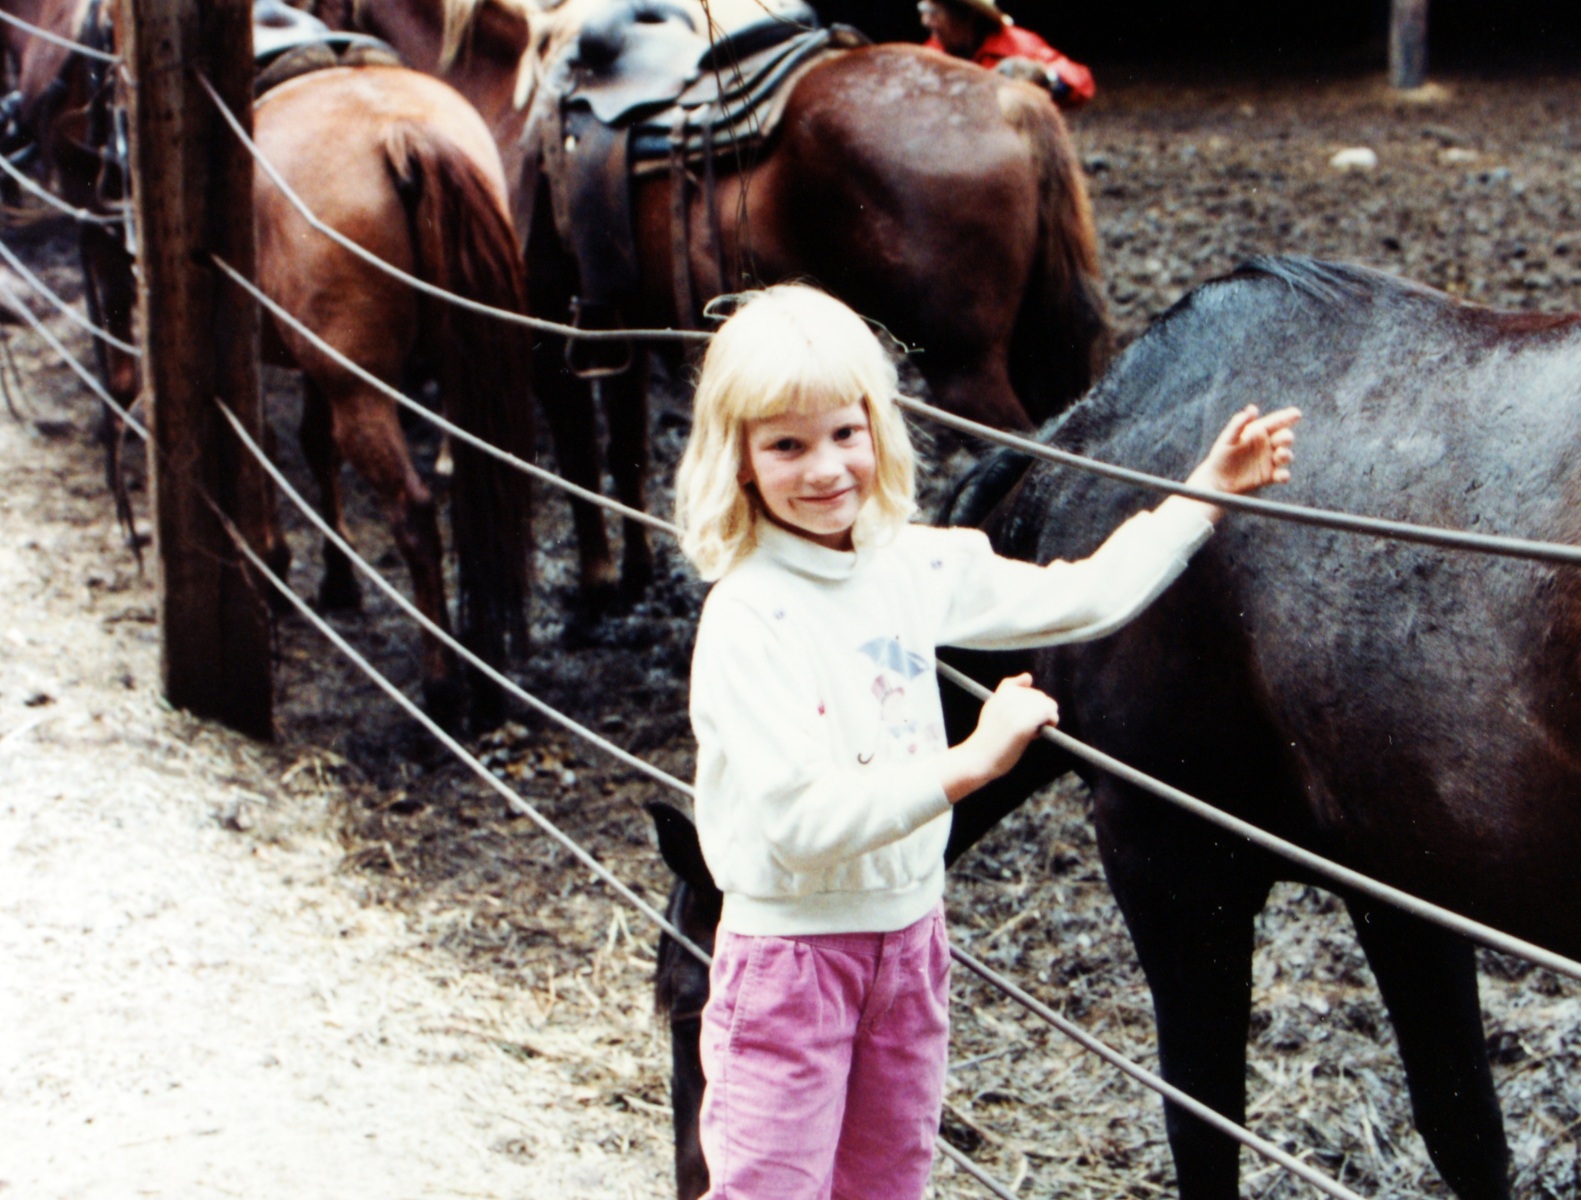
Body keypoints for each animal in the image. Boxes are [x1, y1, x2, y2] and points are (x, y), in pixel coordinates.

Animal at [520, 0, 1106, 606]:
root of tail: (1014, 101)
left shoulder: (550, 328)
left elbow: (579, 455)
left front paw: (597, 583)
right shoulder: (616, 327)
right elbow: (625, 447)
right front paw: (634, 570)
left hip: (966, 373)